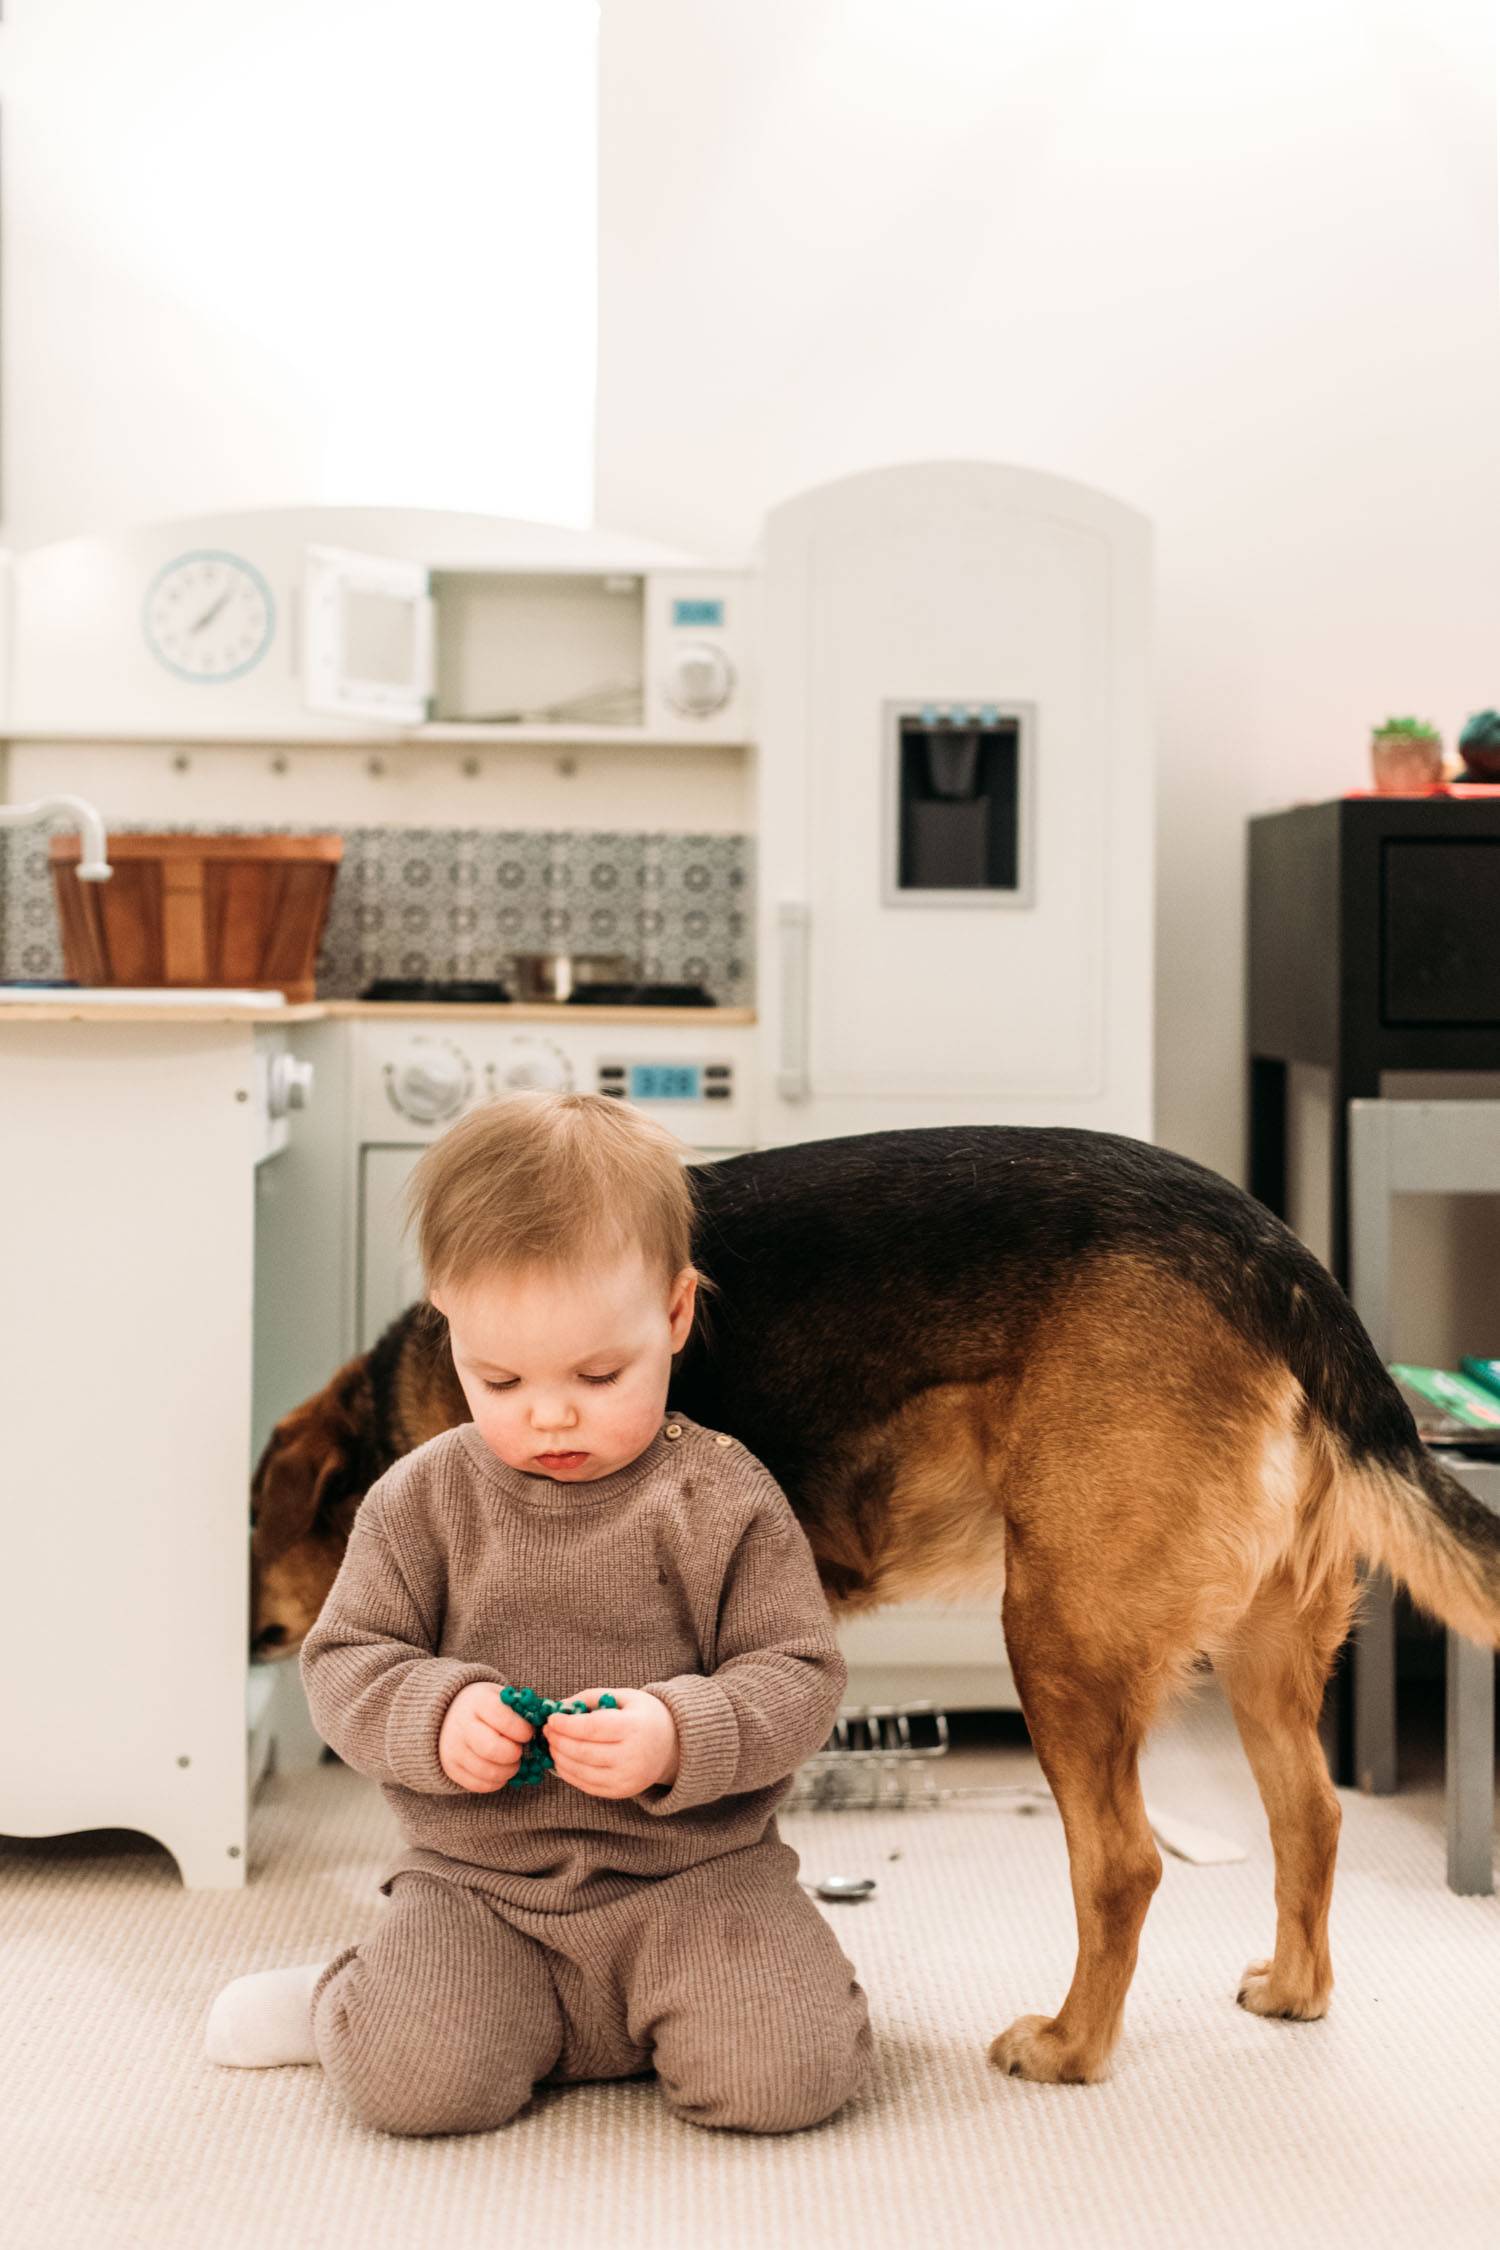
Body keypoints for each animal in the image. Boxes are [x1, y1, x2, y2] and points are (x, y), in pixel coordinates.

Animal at [249, 1125, 1500, 2088]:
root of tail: (1287, 1272)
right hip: (1263, 1652)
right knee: (1311, 1817)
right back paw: (1294, 1988)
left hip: (1055, 1633)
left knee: (1124, 1866)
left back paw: (1069, 2046)